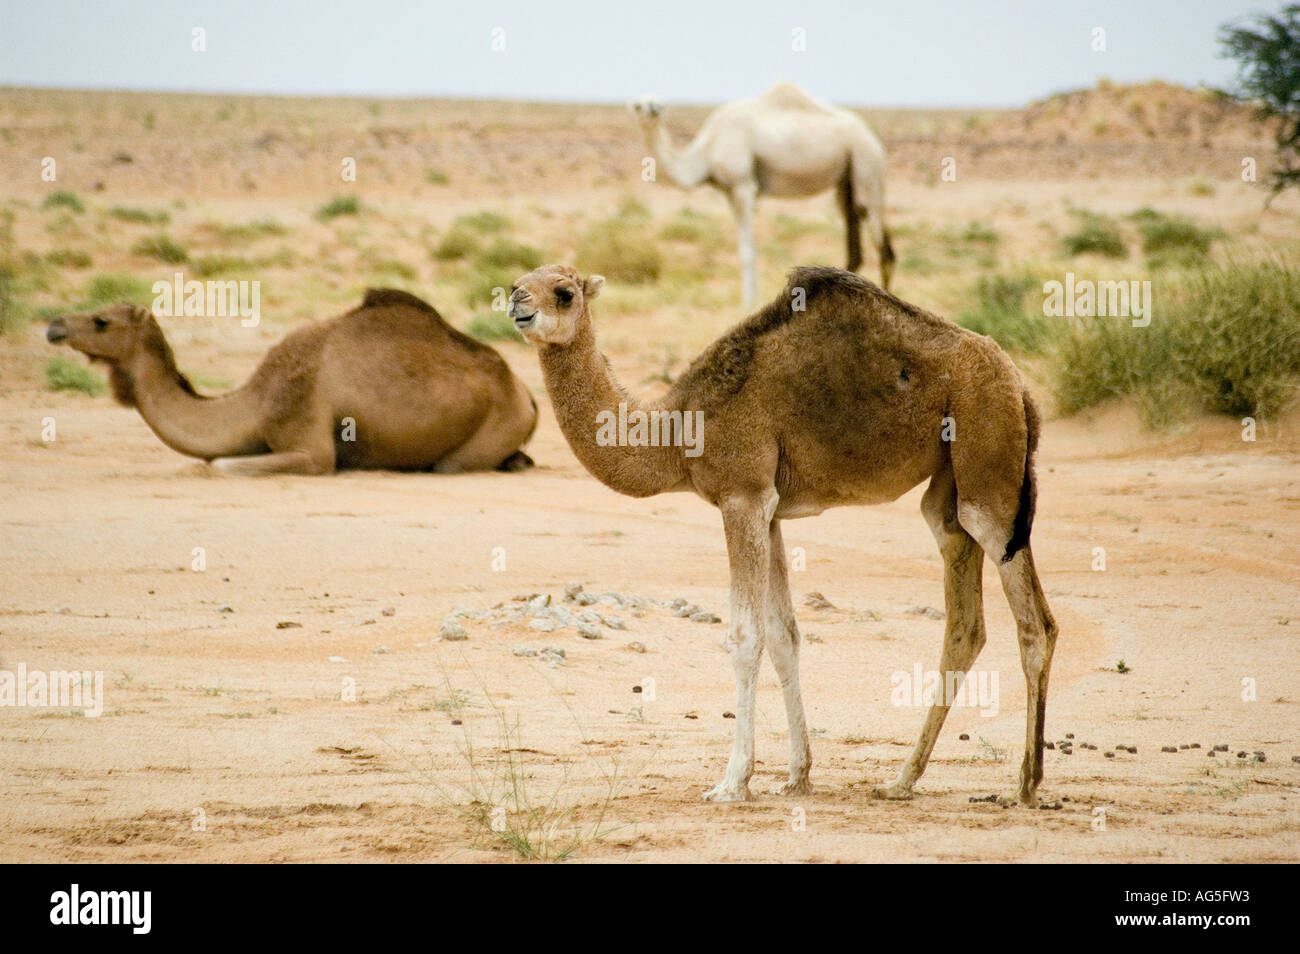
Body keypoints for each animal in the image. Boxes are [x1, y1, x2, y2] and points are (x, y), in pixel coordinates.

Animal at [45, 287, 533, 475]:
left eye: (101, 321)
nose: (54, 325)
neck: (257, 399)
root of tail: (524, 393)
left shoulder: (308, 443)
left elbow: (218, 465)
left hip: (489, 430)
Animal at [506, 263, 1055, 805]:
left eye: (564, 292)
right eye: (521, 281)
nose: (516, 302)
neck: (679, 429)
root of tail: (1023, 386)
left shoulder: (743, 496)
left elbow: (744, 636)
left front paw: (732, 782)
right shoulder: (769, 513)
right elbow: (783, 635)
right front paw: (797, 775)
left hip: (988, 456)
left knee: (1034, 622)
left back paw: (1025, 785)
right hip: (950, 485)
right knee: (964, 620)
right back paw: (902, 780)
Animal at [634, 83, 899, 306]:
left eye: (659, 104)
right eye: (638, 105)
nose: (653, 110)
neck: (707, 152)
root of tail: (873, 138)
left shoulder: (743, 185)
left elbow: (748, 252)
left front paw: (748, 303)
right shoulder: (729, 192)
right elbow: (743, 248)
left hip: (867, 165)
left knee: (881, 242)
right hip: (846, 178)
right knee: (853, 222)